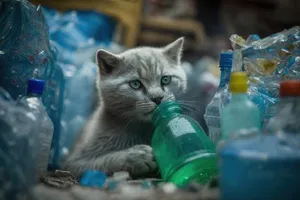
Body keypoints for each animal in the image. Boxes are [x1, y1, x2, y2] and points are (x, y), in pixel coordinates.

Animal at [62, 36, 186, 177]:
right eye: (135, 84)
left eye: (165, 79)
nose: (157, 98)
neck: (141, 128)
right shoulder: (70, 165)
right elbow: (99, 162)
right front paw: (136, 156)